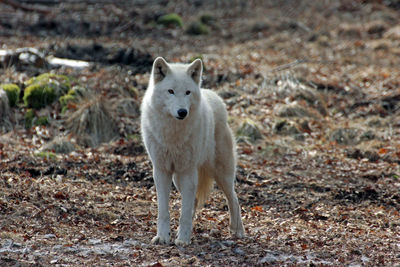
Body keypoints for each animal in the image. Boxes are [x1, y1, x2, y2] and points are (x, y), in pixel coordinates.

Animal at [141, 57, 244, 246]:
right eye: (171, 91)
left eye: (188, 92)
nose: (182, 112)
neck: (173, 133)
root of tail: (214, 96)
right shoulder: (161, 171)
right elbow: (164, 211)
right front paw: (163, 237)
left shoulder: (187, 171)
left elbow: (184, 212)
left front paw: (182, 239)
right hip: (179, 178)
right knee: (194, 200)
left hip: (220, 174)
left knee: (233, 198)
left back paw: (238, 230)